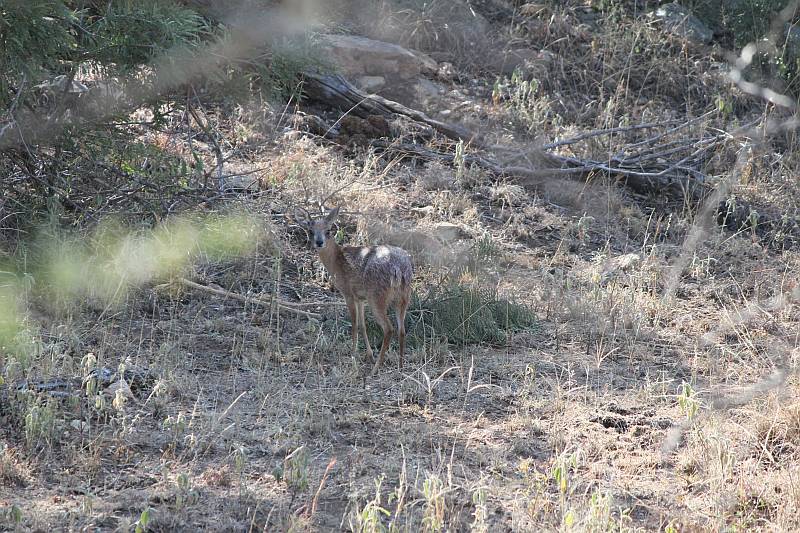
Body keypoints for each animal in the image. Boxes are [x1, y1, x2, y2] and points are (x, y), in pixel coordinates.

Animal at [296, 205, 416, 374]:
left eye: (328, 230)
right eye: (311, 231)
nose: (319, 242)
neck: (336, 262)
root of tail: (398, 268)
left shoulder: (348, 293)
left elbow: (353, 323)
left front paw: (353, 354)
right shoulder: (361, 298)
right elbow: (362, 325)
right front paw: (368, 354)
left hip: (377, 296)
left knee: (389, 329)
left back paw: (376, 368)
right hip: (404, 297)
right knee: (402, 330)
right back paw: (400, 366)